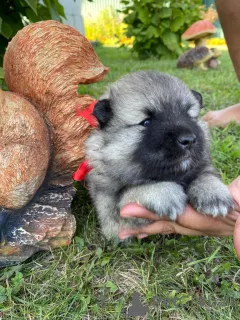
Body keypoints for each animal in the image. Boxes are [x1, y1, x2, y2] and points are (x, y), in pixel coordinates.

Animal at [85, 70, 233, 240]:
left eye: (189, 117)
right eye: (146, 122)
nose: (188, 140)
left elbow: (205, 174)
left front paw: (213, 194)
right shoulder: (116, 218)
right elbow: (133, 190)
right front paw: (166, 193)